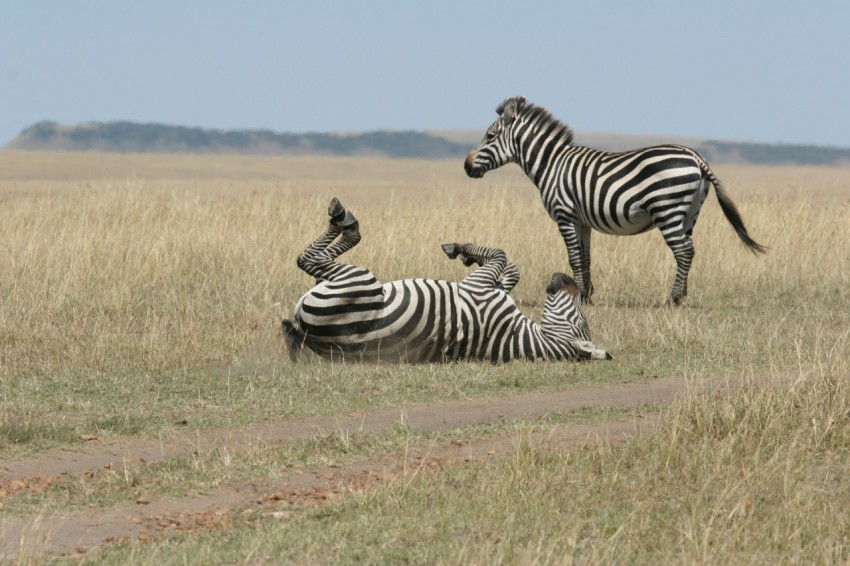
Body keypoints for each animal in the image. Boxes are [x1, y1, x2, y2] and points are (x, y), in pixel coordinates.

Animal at [282, 198, 611, 363]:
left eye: (579, 318)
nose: (565, 277)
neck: (519, 336)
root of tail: (308, 334)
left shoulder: (479, 289)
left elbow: (500, 255)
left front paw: (460, 249)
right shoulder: (491, 289)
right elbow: (510, 269)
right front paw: (468, 255)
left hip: (360, 282)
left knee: (309, 259)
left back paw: (344, 219)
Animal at [464, 96, 766, 305]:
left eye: (490, 136)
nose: (466, 167)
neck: (551, 164)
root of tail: (697, 158)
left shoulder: (565, 215)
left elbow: (573, 257)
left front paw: (577, 296)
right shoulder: (582, 221)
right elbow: (585, 258)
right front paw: (586, 295)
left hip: (667, 209)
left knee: (683, 251)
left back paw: (672, 299)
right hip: (690, 213)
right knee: (690, 250)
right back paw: (683, 294)